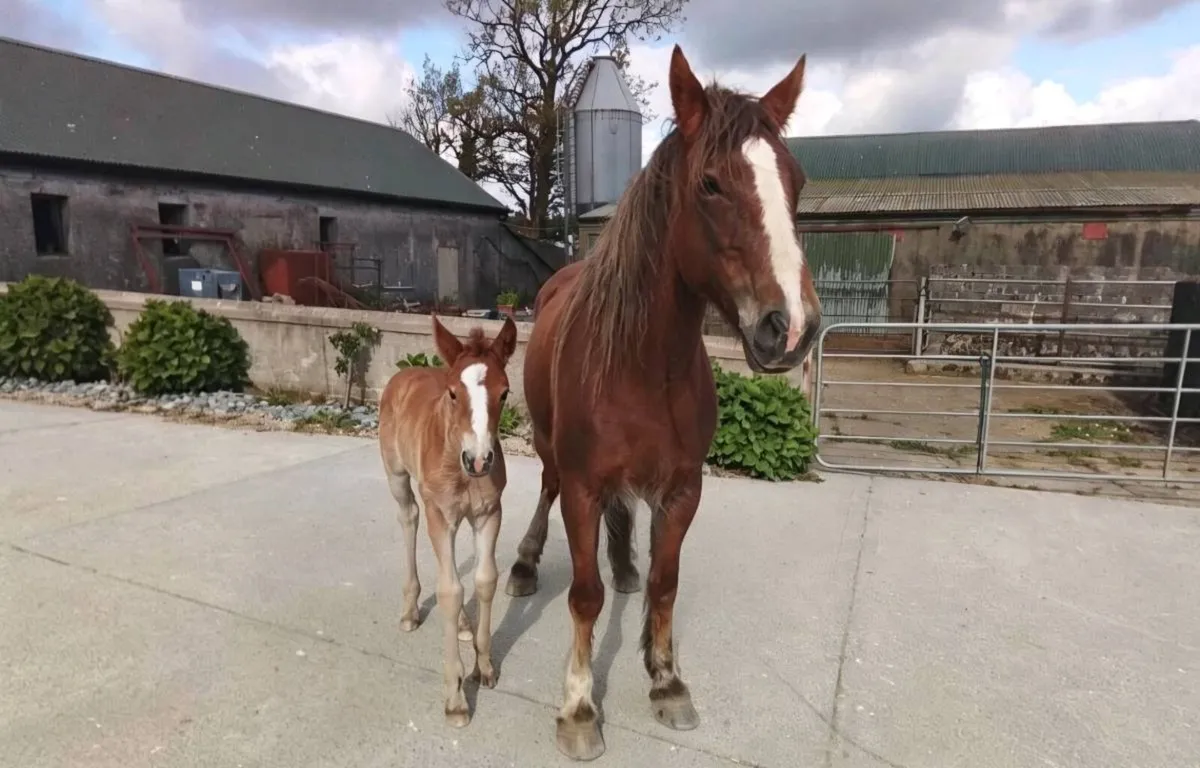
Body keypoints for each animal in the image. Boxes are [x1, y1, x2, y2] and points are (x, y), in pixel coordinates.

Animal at [377, 314, 518, 728]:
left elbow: (484, 580)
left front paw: (483, 667)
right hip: (397, 477)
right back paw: (410, 611)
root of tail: (404, 374)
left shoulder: (489, 514)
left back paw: (462, 627)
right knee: (409, 518)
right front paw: (455, 697)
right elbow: (450, 591)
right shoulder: (441, 514)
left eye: (505, 393)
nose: (479, 460)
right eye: (453, 394)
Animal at [502, 45, 821, 760]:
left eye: (796, 182)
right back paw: (526, 564)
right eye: (710, 184)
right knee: (545, 490)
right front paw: (579, 707)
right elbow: (585, 596)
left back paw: (623, 562)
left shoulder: (682, 490)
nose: (790, 328)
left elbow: (664, 583)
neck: (644, 366)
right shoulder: (584, 487)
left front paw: (667, 680)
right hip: (548, 446)